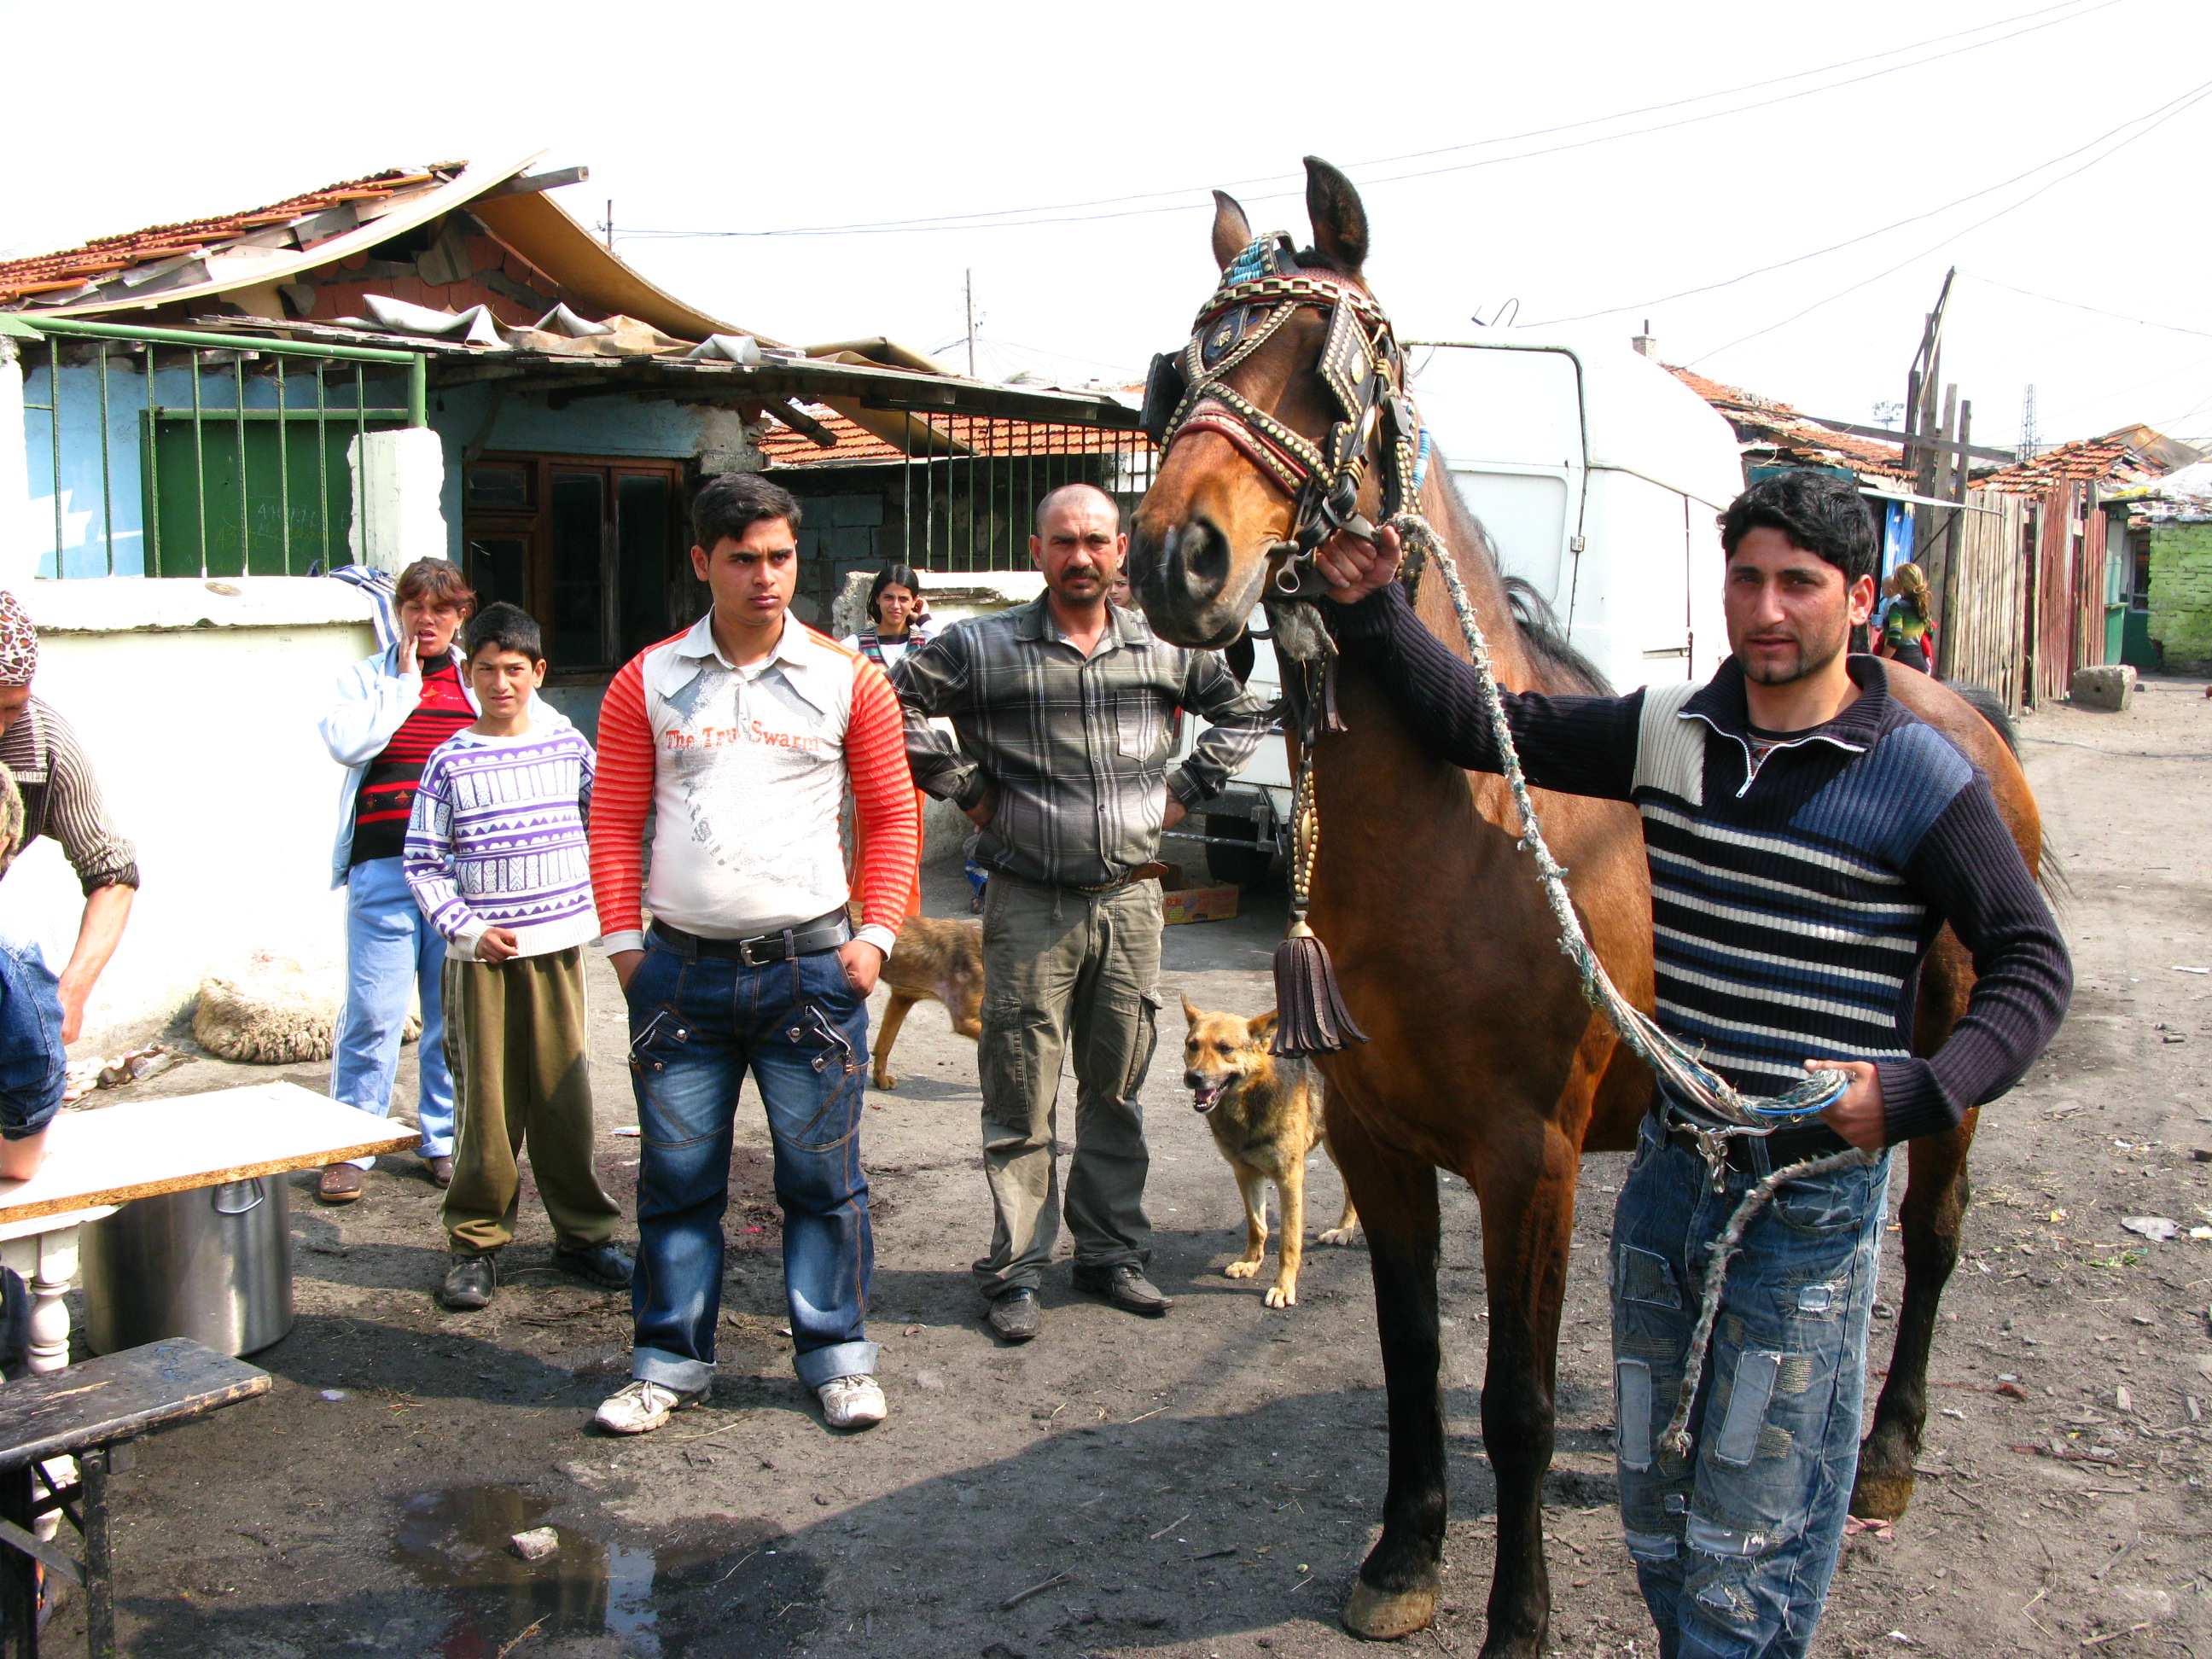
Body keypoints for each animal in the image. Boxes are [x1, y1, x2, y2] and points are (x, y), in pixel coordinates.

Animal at [1185, 995, 1353, 1309]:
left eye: (1225, 1049)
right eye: (1192, 1045)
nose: (1193, 1077)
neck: (1251, 1098)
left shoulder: (1290, 1179)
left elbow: (1289, 1240)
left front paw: (1284, 1287)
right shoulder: (1246, 1174)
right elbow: (1257, 1225)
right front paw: (1250, 1262)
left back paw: (1346, 1231)